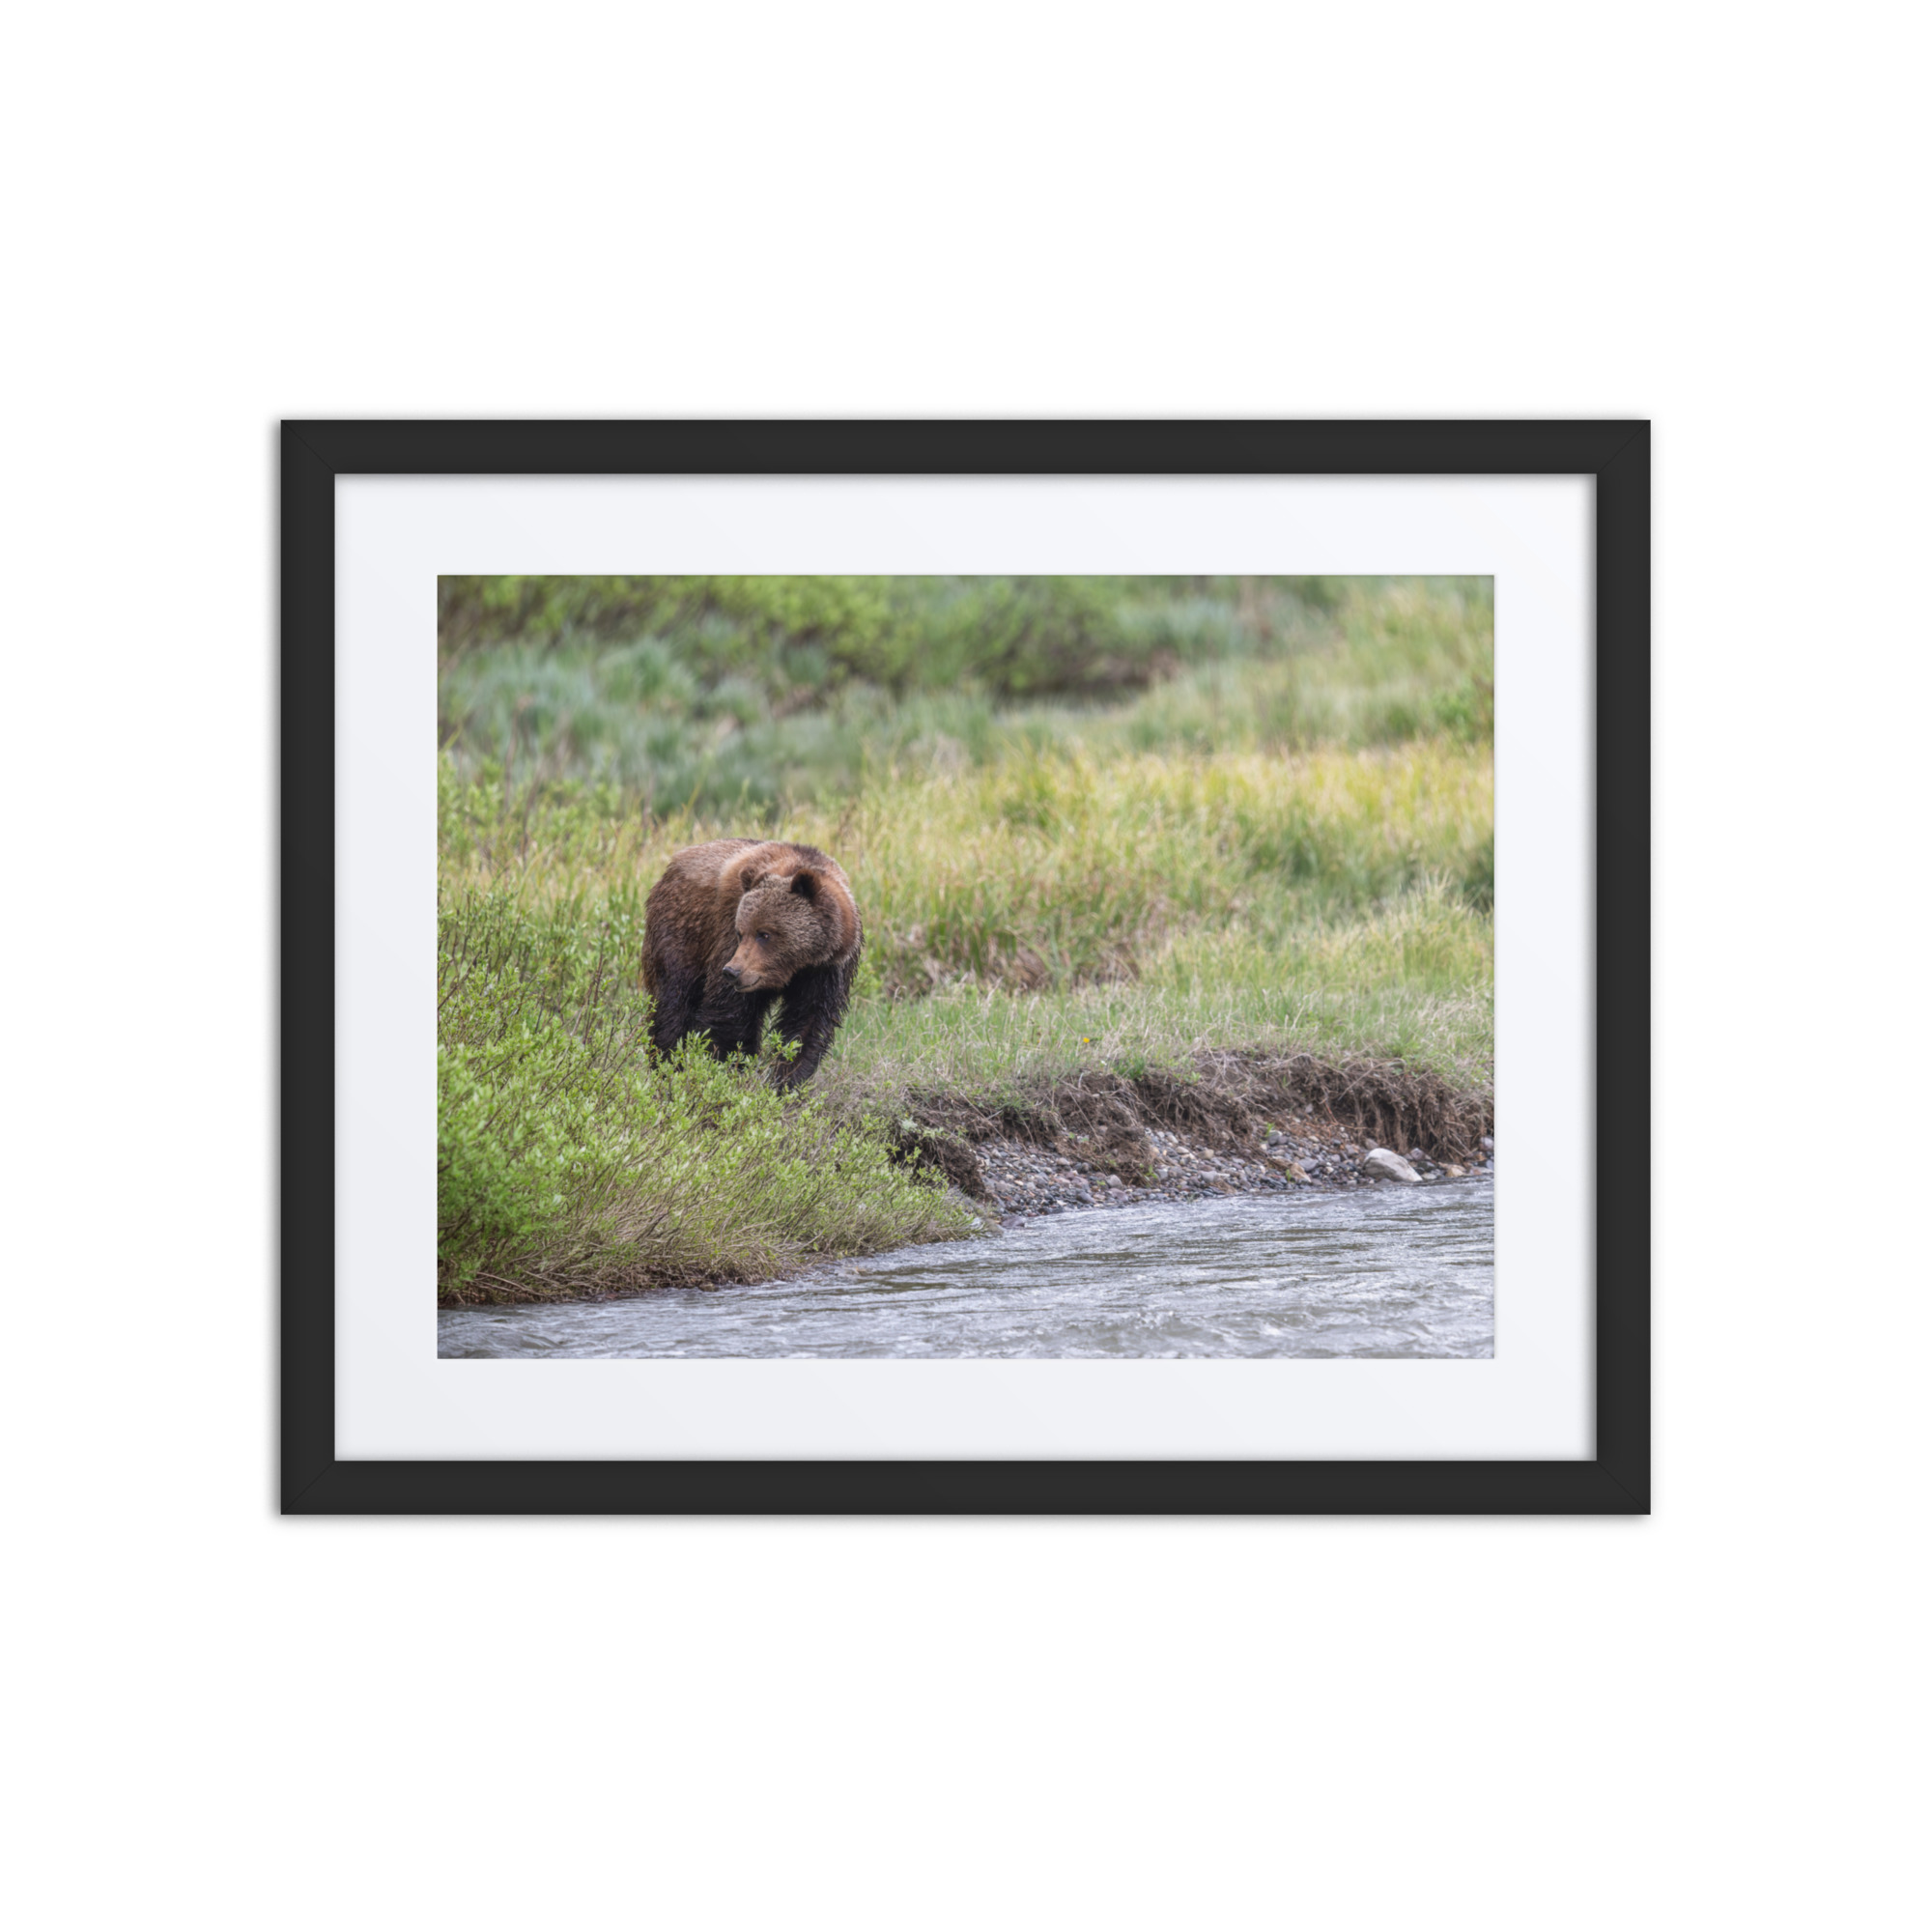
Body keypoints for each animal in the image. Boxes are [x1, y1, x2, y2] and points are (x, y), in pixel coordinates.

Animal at [641, 838, 863, 1088]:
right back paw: (667, 1066)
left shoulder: (827, 970)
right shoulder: (727, 935)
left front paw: (785, 1081)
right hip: (682, 933)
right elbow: (730, 1015)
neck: (797, 965)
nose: (732, 972)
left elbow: (807, 1024)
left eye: (764, 934)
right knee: (674, 1002)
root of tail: (673, 864)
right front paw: (727, 1070)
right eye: (741, 932)